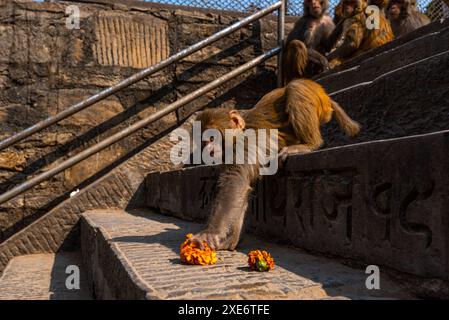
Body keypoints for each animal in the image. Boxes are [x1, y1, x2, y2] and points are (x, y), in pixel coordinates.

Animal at [186, 79, 360, 250]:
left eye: (212, 137)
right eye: (204, 142)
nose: (208, 150)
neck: (238, 134)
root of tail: (324, 95)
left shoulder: (245, 145)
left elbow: (235, 182)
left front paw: (209, 233)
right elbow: (242, 187)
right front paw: (231, 241)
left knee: (295, 87)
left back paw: (310, 144)